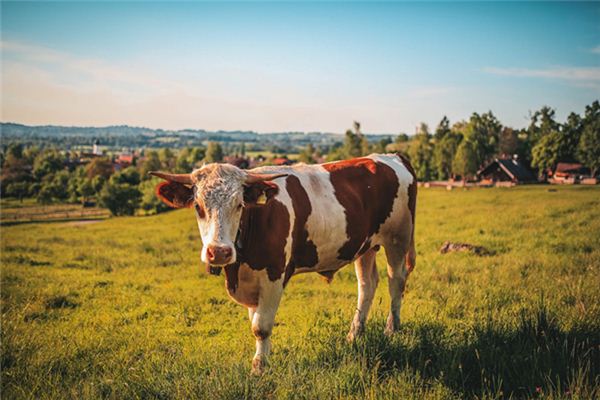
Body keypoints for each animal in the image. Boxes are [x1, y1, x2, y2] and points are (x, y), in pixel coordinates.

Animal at [150, 154, 418, 376]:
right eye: (198, 207)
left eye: (239, 205)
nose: (219, 252)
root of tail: (391, 156)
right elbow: (254, 321)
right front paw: (262, 359)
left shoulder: (274, 275)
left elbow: (261, 327)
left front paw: (259, 368)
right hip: (365, 246)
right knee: (367, 284)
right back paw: (354, 334)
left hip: (398, 238)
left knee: (396, 281)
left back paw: (391, 329)